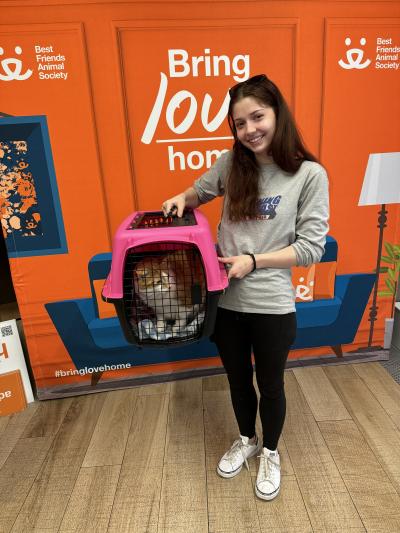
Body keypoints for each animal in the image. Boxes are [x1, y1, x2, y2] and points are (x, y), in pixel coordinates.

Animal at [101, 206, 228, 348]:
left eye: (167, 277)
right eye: (158, 281)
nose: (169, 287)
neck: (158, 299)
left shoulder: (185, 305)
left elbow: (180, 319)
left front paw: (174, 329)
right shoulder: (159, 310)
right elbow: (161, 319)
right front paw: (160, 327)